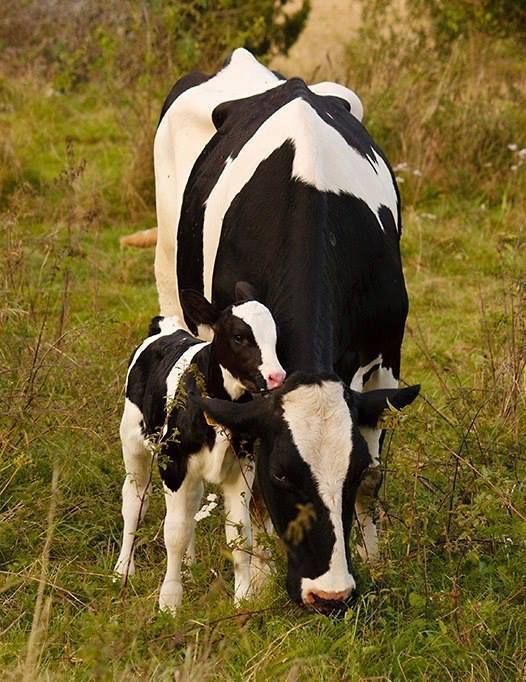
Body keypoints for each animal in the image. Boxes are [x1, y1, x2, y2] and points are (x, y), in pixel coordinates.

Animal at [114, 282, 286, 612]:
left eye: (275, 334)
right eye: (239, 337)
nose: (276, 377)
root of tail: (165, 329)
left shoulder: (242, 466)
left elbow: (239, 535)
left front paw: (242, 598)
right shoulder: (173, 462)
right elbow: (174, 533)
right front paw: (169, 601)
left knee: (191, 505)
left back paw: (189, 567)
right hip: (133, 443)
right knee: (135, 501)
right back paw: (122, 570)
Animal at [153, 49, 420, 612]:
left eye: (349, 473)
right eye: (283, 473)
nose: (329, 594)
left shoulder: (386, 354)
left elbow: (377, 474)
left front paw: (375, 561)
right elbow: (249, 494)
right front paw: (258, 579)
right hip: (168, 266)